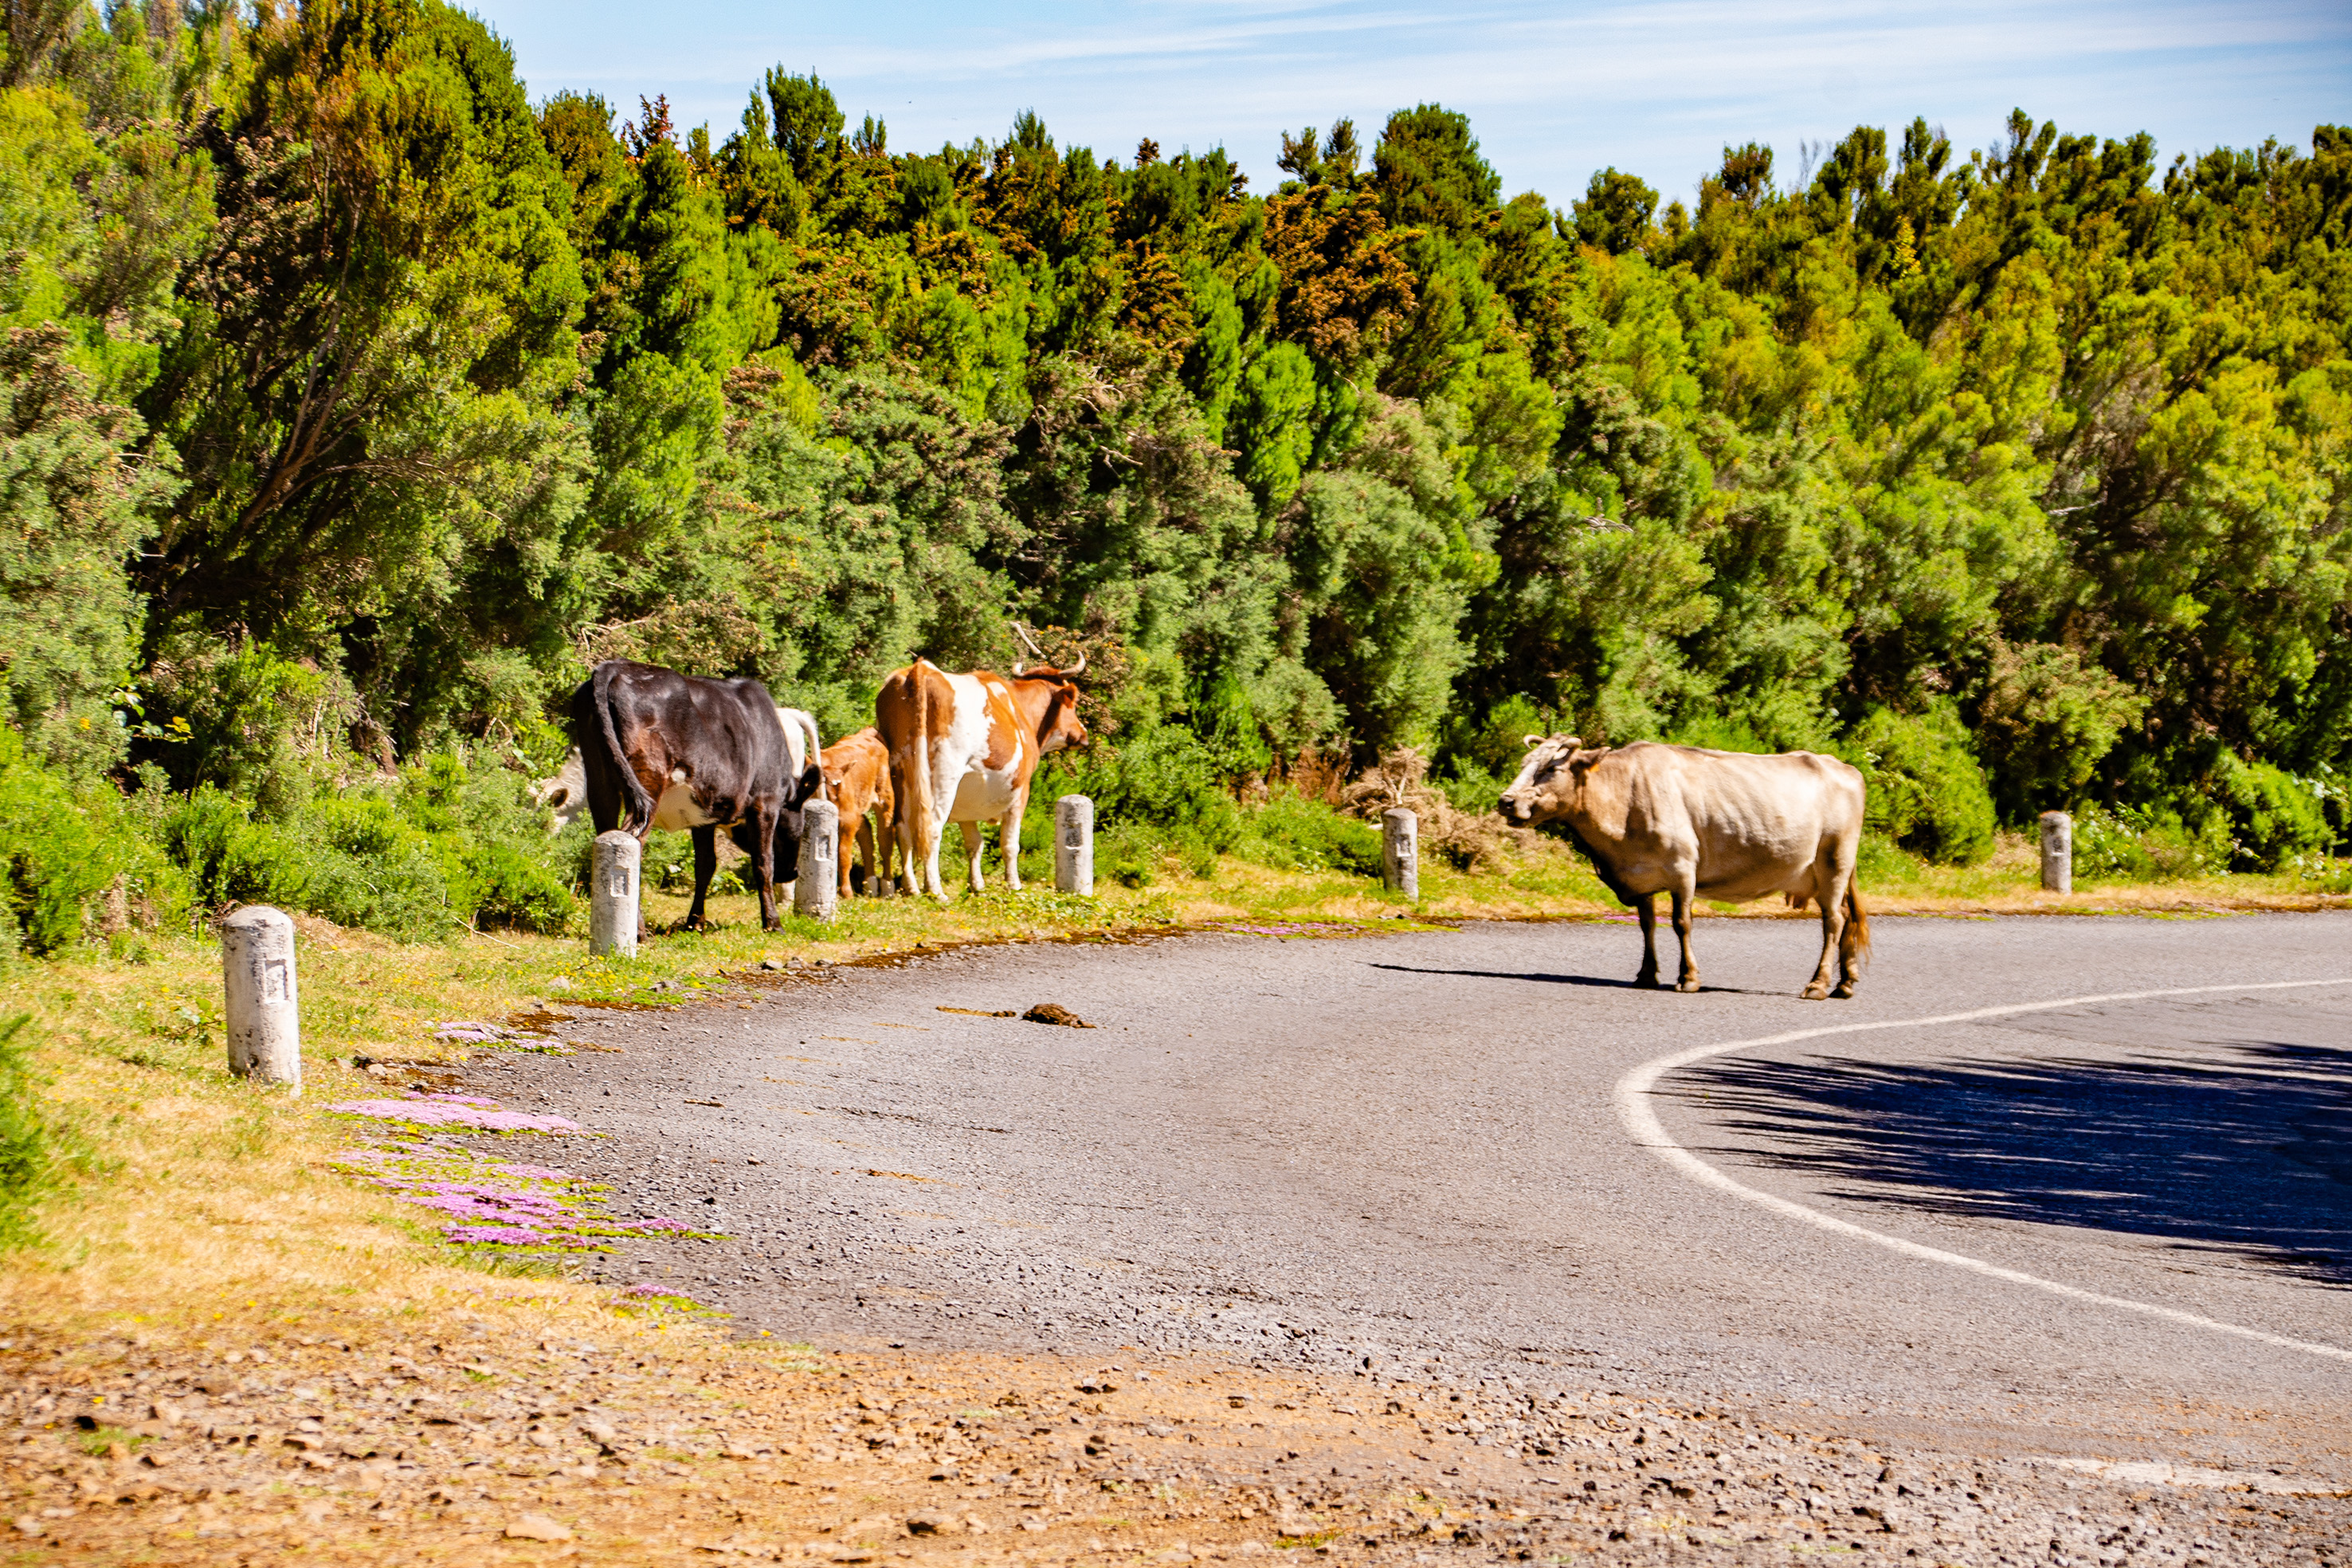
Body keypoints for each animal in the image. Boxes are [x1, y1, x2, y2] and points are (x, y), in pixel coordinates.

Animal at [566, 661, 825, 932]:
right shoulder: (766, 802)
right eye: (800, 831)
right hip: (648, 782)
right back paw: (638, 931)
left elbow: (706, 865)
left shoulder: (705, 816)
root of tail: (615, 667)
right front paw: (773, 923)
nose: (793, 873)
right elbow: (764, 862)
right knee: (633, 841)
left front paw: (696, 922)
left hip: (599, 782)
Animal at [819, 727, 896, 898]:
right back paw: (870, 884)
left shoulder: (847, 820)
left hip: (884, 797)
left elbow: (843, 856)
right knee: (866, 830)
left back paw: (887, 887)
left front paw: (846, 893)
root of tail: (867, 732)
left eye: (840, 788)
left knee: (885, 840)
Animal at [876, 632, 1088, 900]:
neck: (1020, 710)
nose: (1083, 735)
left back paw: (912, 887)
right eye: (1074, 704)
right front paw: (1013, 884)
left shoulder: (966, 800)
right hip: (944, 773)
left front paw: (976, 884)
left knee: (902, 827)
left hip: (900, 771)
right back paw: (936, 891)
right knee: (932, 827)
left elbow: (974, 843)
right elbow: (1010, 843)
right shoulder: (1020, 791)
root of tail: (921, 670)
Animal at [1498, 735, 1869, 1000]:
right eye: (1525, 763)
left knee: (1833, 922)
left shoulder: (1682, 869)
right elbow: (1647, 925)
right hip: (1826, 873)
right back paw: (1845, 984)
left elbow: (1681, 924)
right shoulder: (1640, 875)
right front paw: (1646, 975)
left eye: (1552, 769)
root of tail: (1842, 767)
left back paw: (1818, 985)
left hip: (1834, 861)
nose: (1506, 801)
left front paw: (1688, 978)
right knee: (1846, 916)